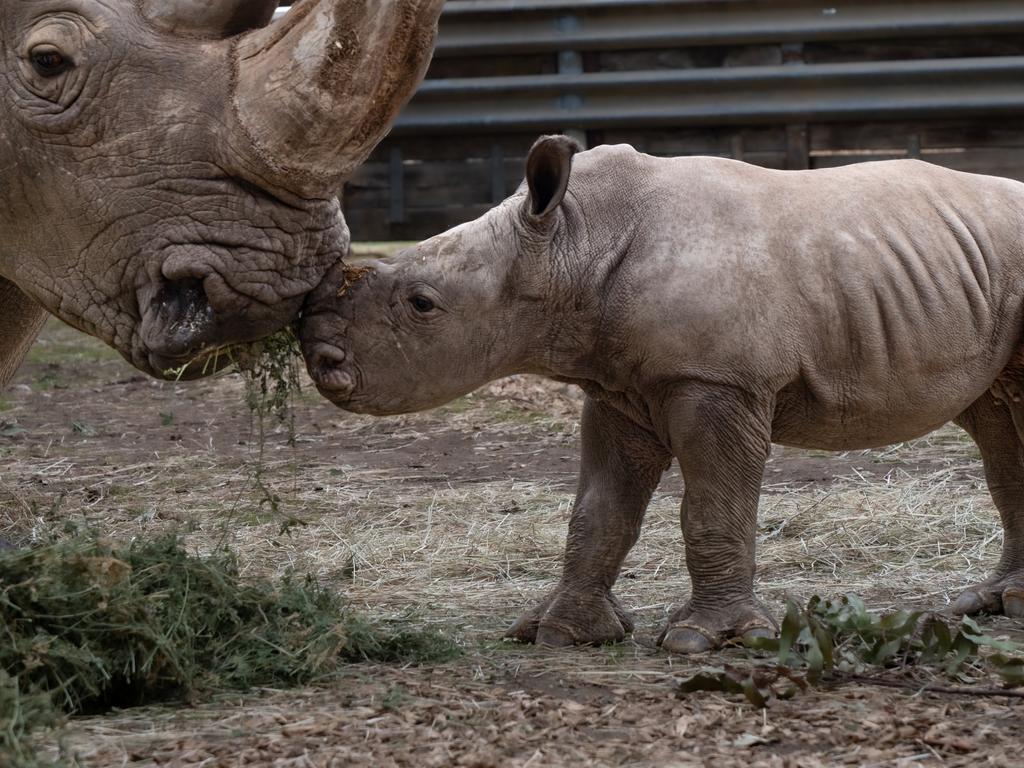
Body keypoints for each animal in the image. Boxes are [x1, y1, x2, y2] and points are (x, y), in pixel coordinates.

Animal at [299, 135, 1024, 651]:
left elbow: (711, 509)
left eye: (421, 304)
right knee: (999, 433)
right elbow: (598, 511)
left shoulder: (717, 381)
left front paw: (708, 641)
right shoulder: (618, 387)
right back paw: (991, 605)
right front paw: (558, 632)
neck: (570, 243)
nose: (320, 357)